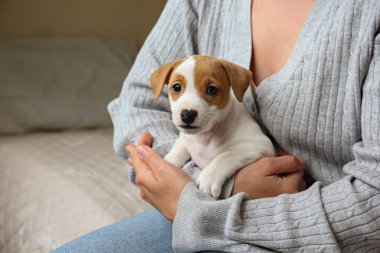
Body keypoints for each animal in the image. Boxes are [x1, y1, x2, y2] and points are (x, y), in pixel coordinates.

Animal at [150, 54, 274, 198]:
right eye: (176, 87)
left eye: (212, 89)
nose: (187, 114)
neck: (204, 138)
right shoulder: (185, 138)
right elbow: (180, 145)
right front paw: (170, 160)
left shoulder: (260, 146)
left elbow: (225, 156)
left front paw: (209, 178)